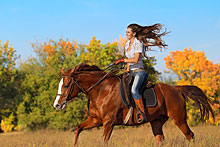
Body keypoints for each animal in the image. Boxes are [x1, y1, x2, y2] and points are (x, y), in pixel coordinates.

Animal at [52, 63, 215, 145]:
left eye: (66, 85)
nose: (57, 105)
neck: (101, 91)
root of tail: (177, 89)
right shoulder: (95, 120)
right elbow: (77, 129)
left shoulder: (108, 122)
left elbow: (104, 141)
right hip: (157, 122)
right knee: (161, 140)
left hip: (179, 119)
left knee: (190, 135)